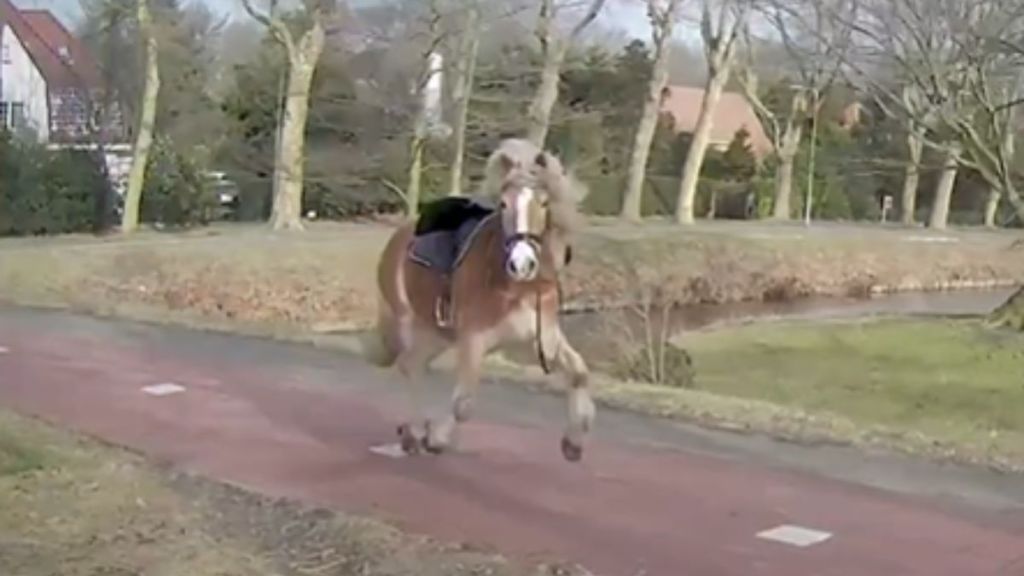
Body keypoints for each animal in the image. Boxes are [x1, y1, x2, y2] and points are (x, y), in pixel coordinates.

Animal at [364, 136, 598, 459]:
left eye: (544, 203)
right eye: (504, 203)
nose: (522, 264)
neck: (516, 287)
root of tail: (400, 235)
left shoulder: (538, 340)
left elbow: (579, 373)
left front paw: (574, 442)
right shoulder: (474, 338)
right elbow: (463, 404)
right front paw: (437, 437)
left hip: (437, 334)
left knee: (412, 364)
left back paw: (412, 432)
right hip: (410, 321)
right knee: (410, 366)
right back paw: (414, 431)